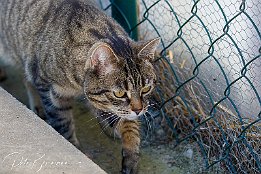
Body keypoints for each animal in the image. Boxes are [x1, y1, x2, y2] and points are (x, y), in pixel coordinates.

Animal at [0, 0, 159, 173]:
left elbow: (129, 127)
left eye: (146, 89)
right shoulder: (49, 90)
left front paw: (131, 156)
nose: (138, 110)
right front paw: (75, 147)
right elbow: (63, 122)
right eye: (119, 94)